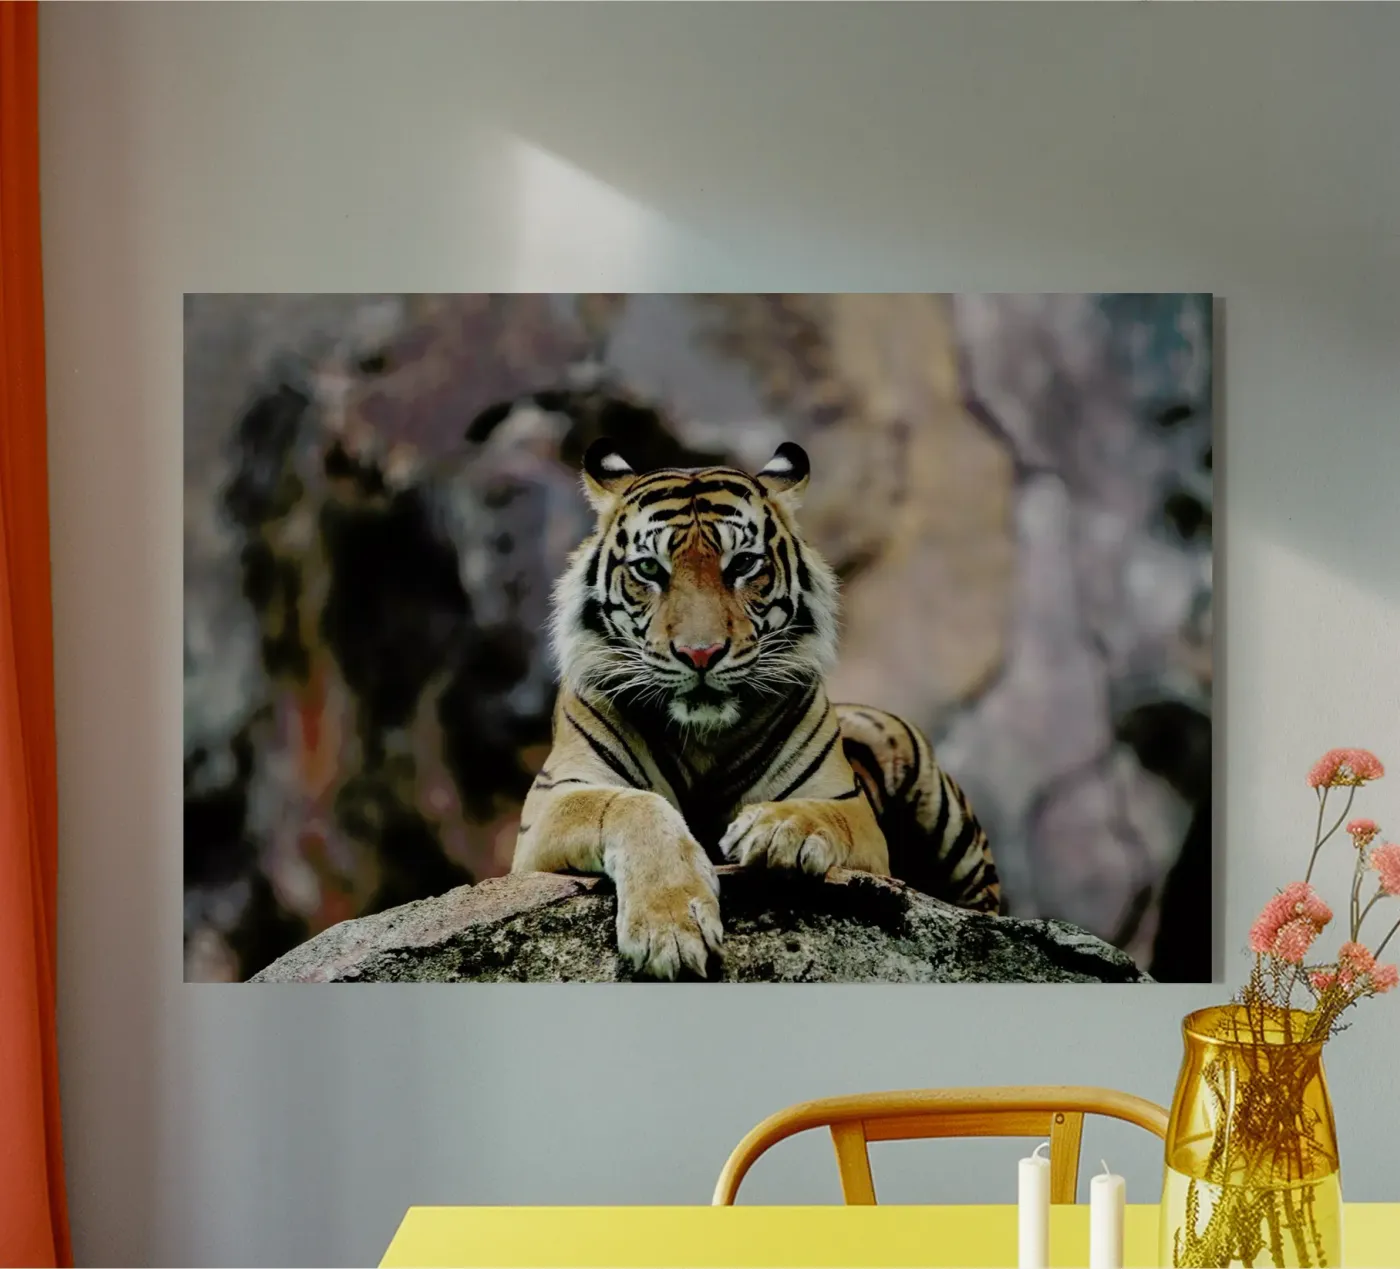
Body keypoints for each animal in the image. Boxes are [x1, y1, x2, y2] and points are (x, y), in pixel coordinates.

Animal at [511, 438, 1001, 979]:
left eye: (742, 564)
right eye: (649, 569)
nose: (701, 653)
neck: (702, 736)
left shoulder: (848, 806)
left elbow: (821, 814)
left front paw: (776, 829)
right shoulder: (553, 801)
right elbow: (631, 805)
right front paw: (670, 929)